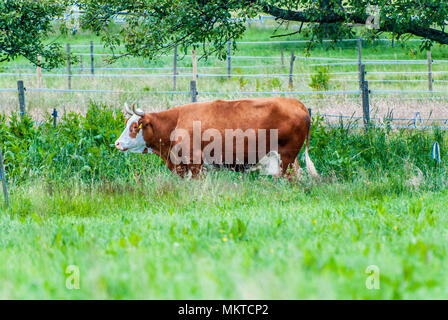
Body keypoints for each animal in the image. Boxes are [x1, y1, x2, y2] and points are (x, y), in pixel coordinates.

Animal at [115, 96, 318, 179]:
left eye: (134, 126)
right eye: (126, 123)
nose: (117, 143)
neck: (176, 122)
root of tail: (296, 103)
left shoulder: (195, 162)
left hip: (286, 158)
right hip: (290, 159)